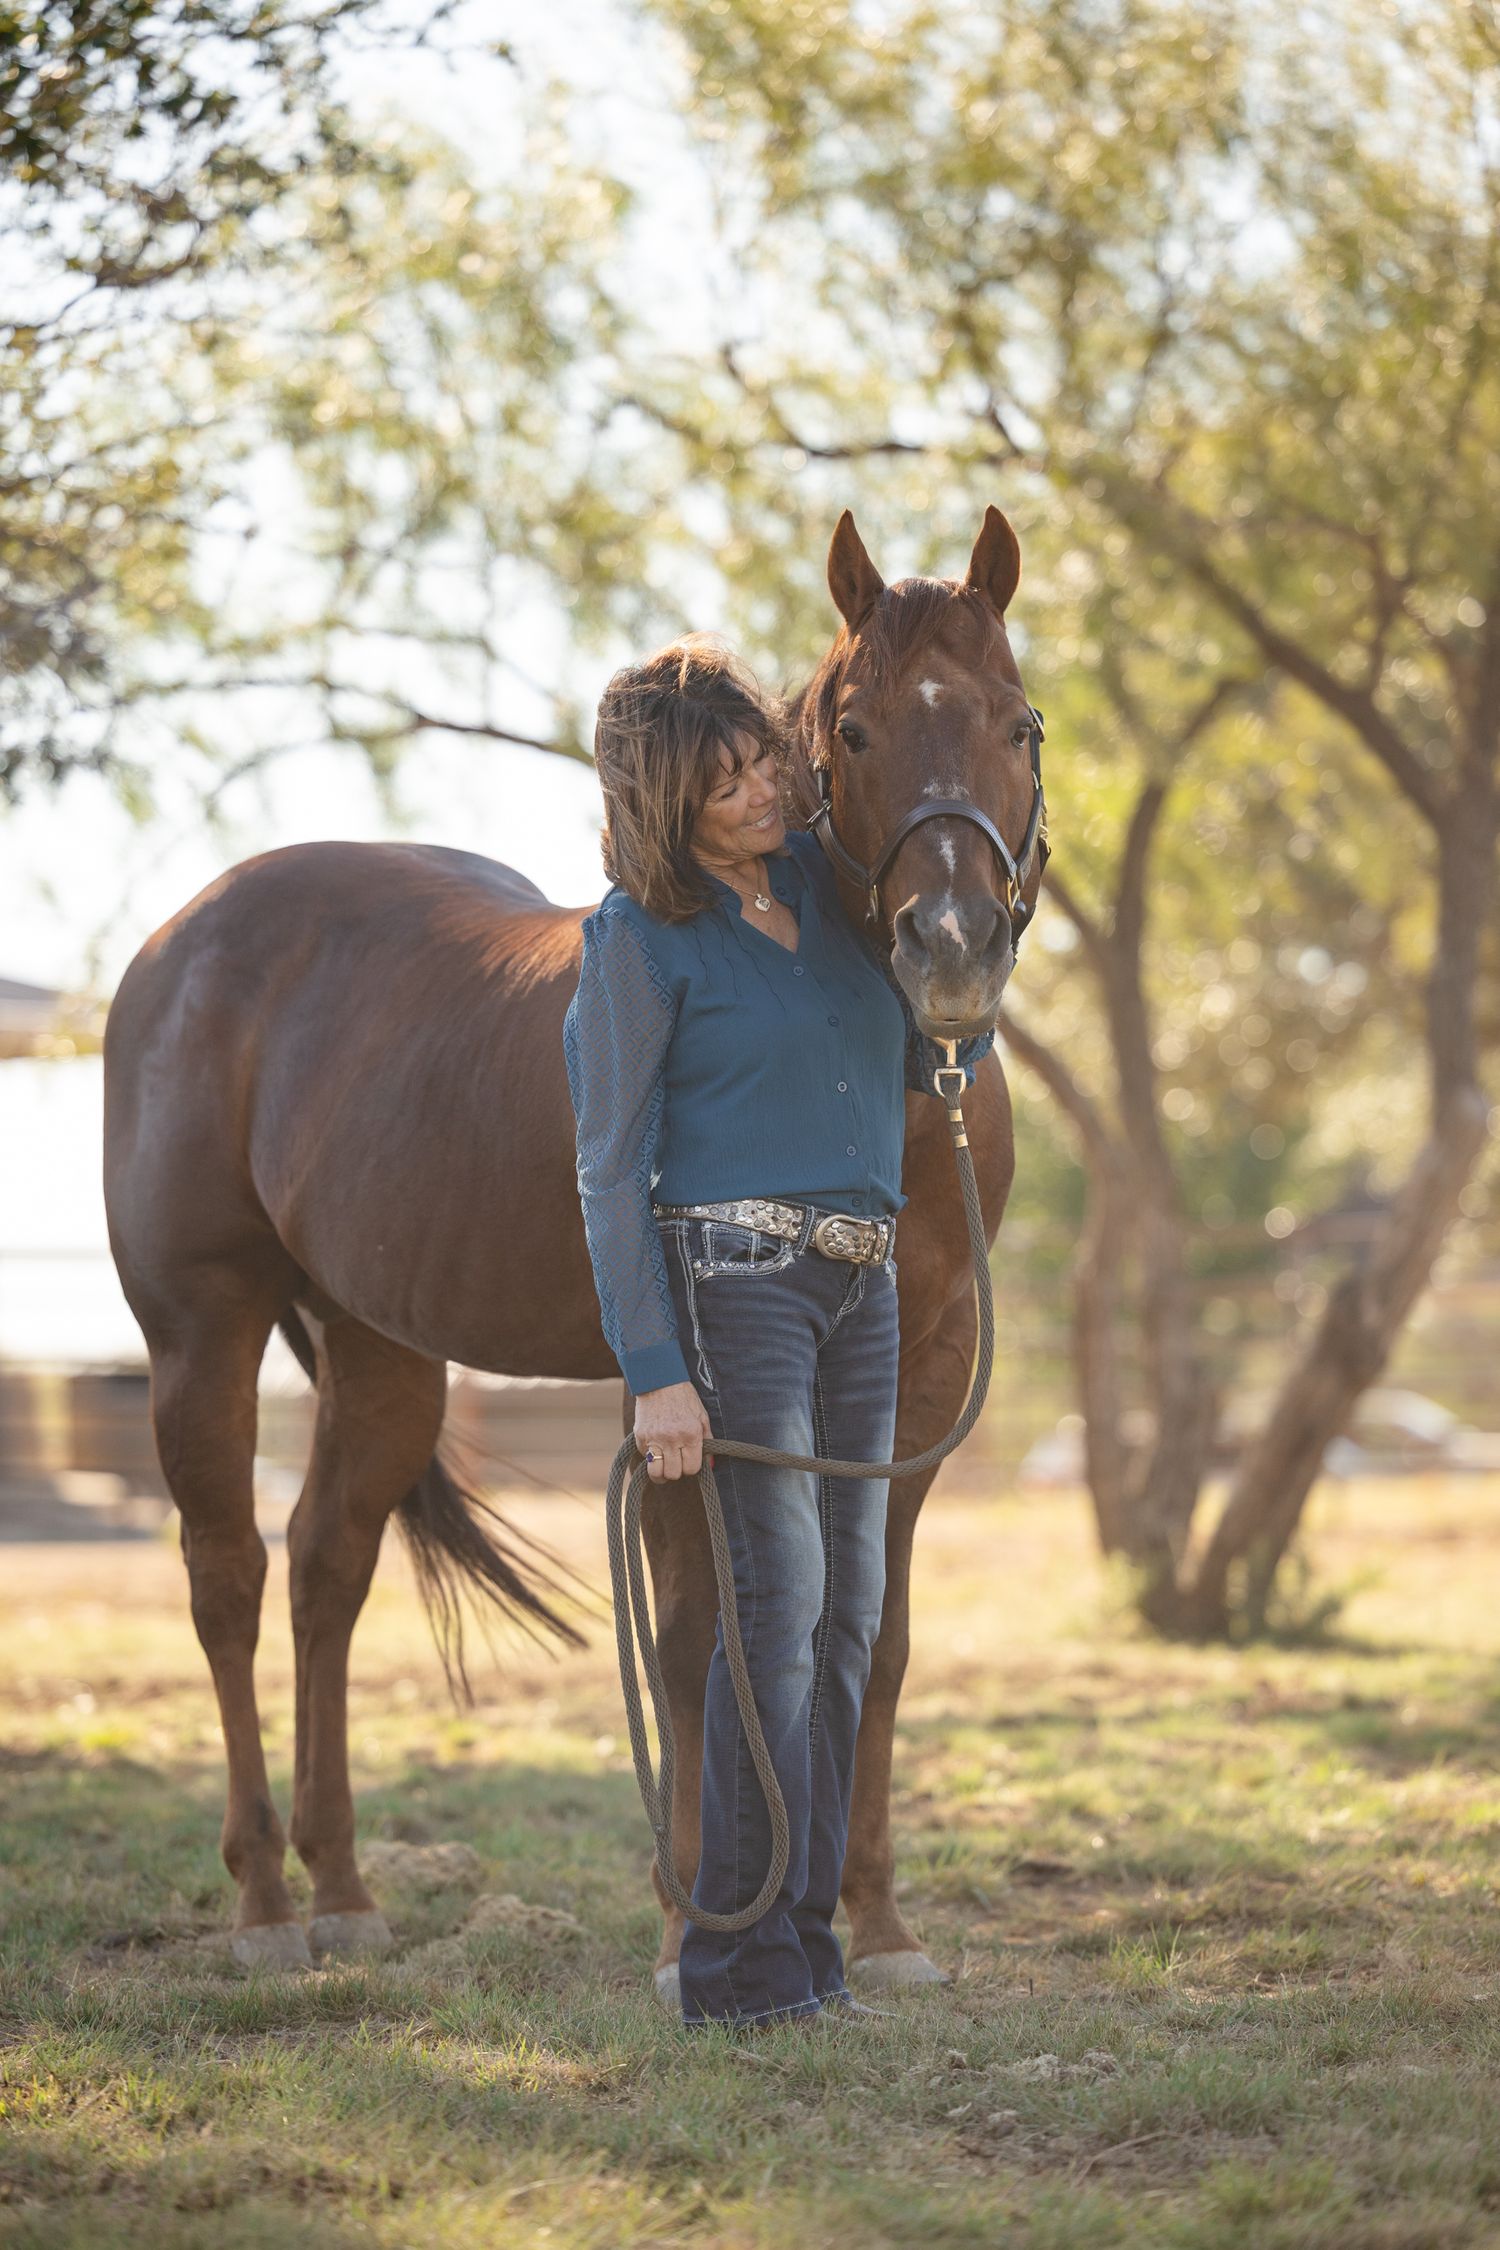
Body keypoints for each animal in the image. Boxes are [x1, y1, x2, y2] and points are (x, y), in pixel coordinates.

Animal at [101, 506, 1043, 1985]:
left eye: (1019, 722)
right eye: (854, 729)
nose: (949, 949)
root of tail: (178, 944)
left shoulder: (918, 1377)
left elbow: (874, 1635)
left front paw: (879, 1924)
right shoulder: (684, 1391)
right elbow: (690, 1632)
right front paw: (693, 1926)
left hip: (380, 1345)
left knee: (325, 1566)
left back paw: (345, 1891)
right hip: (204, 1329)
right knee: (230, 1577)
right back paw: (263, 1906)